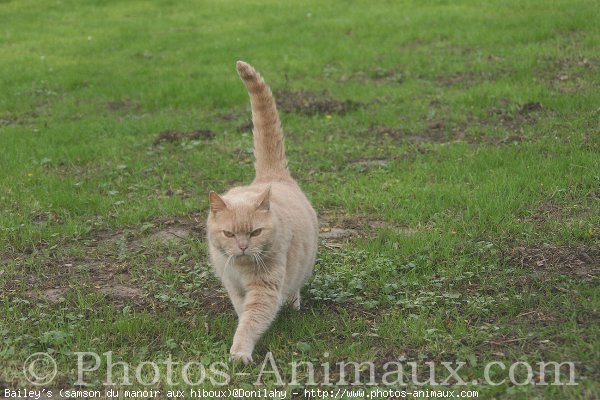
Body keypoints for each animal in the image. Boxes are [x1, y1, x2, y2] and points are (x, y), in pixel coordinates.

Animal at [206, 61, 318, 364]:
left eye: (255, 232)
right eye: (229, 234)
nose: (243, 247)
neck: (241, 268)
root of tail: (272, 175)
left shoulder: (265, 290)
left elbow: (252, 320)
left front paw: (240, 351)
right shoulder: (233, 286)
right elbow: (242, 311)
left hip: (302, 266)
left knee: (295, 286)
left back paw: (293, 304)